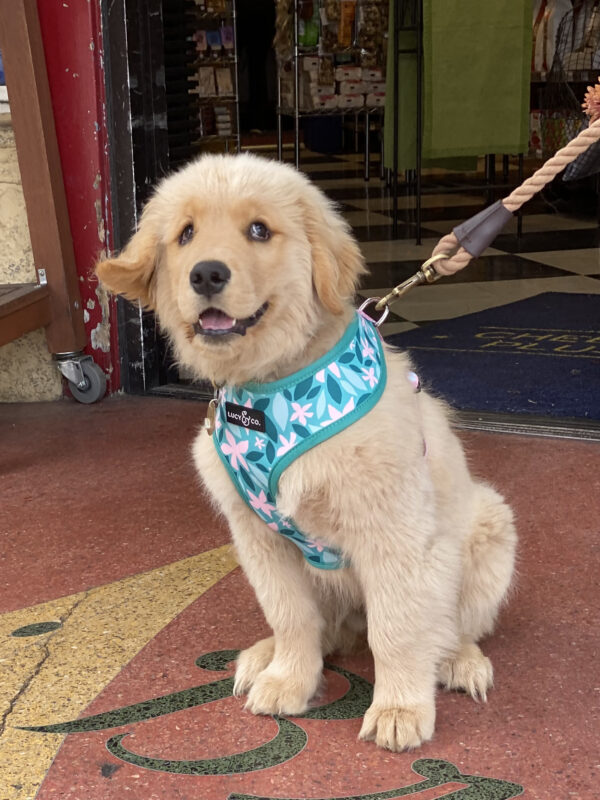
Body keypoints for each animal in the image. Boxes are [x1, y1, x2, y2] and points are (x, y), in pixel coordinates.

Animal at [97, 155, 516, 752]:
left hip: (488, 526)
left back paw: (459, 660)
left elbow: (399, 629)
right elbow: (290, 615)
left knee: (449, 625)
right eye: (185, 235)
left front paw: (399, 709)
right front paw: (288, 679)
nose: (206, 274)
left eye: (258, 230)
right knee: (326, 629)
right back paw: (265, 656)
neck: (273, 391)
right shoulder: (257, 536)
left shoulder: (396, 533)